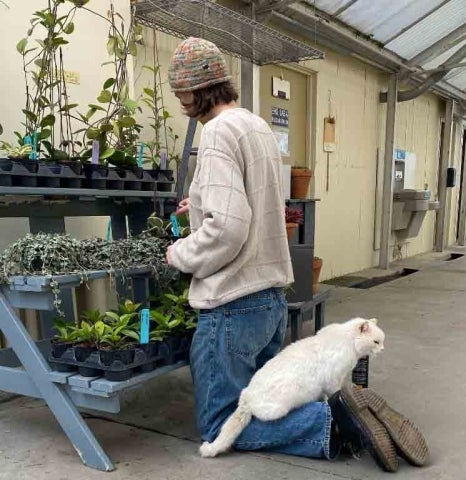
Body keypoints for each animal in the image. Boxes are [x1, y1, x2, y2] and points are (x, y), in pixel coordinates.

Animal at [198, 316, 384, 460]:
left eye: (382, 342)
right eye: (376, 342)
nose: (382, 349)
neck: (348, 341)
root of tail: (246, 397)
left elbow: (324, 396)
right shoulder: (332, 381)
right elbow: (333, 394)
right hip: (280, 407)